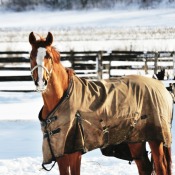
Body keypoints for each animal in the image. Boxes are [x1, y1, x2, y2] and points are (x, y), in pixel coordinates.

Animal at [29, 31, 173, 175]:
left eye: (48, 56)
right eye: (31, 56)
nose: (41, 82)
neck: (63, 97)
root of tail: (161, 86)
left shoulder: (75, 152)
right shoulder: (60, 153)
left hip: (156, 139)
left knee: (161, 167)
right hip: (136, 139)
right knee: (144, 167)